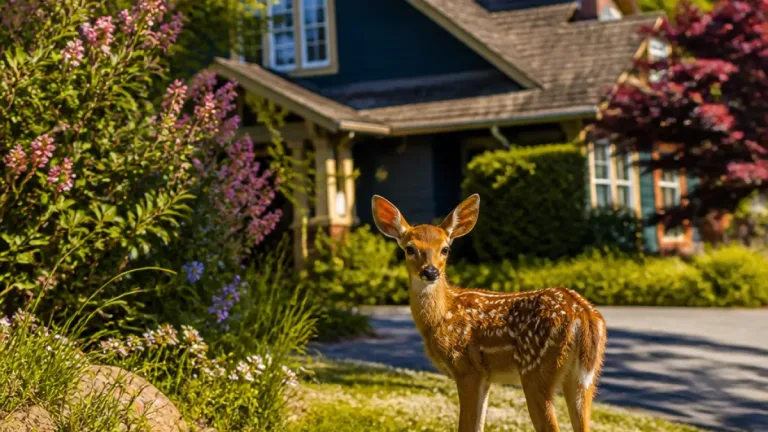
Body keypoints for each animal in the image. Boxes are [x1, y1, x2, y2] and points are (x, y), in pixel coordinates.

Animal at [371, 193, 607, 432]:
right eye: (409, 248)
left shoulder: (466, 368)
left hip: (535, 370)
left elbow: (466, 426)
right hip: (585, 378)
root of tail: (583, 314)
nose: (430, 271)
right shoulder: (486, 376)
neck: (440, 317)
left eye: (445, 249)